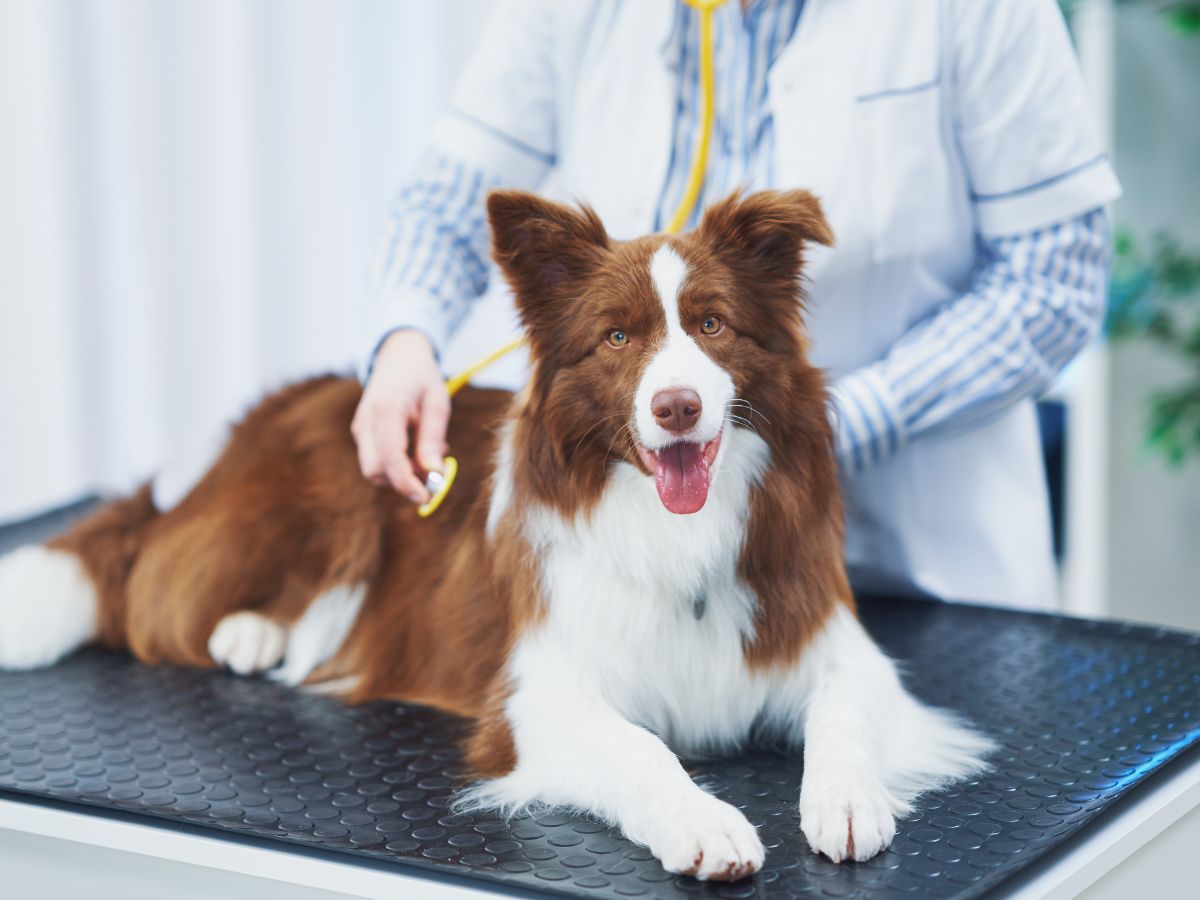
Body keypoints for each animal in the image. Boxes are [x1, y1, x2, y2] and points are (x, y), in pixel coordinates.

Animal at [0, 188, 988, 883]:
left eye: (712, 325)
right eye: (617, 338)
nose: (677, 406)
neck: (673, 528)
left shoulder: (834, 643)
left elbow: (843, 712)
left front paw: (848, 798)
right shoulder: (538, 699)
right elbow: (642, 750)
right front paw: (705, 822)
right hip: (335, 492)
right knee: (158, 595)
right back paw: (251, 632)